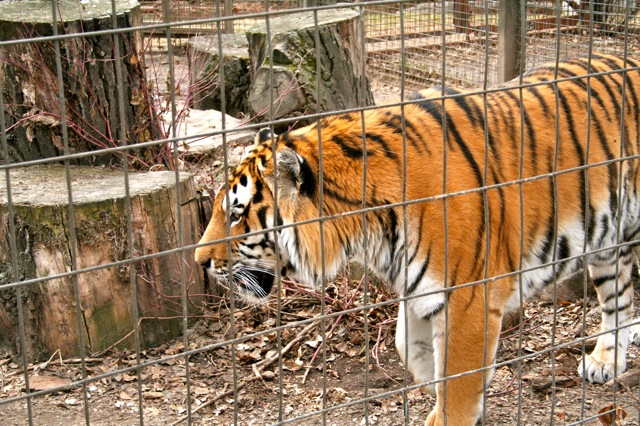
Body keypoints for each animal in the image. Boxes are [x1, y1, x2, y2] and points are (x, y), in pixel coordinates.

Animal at [194, 53, 640, 425]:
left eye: (236, 214)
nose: (200, 261)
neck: (368, 228)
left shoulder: (469, 299)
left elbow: (457, 383)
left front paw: (452, 405)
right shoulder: (419, 285)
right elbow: (408, 346)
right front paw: (439, 385)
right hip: (607, 244)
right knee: (619, 301)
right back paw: (605, 361)